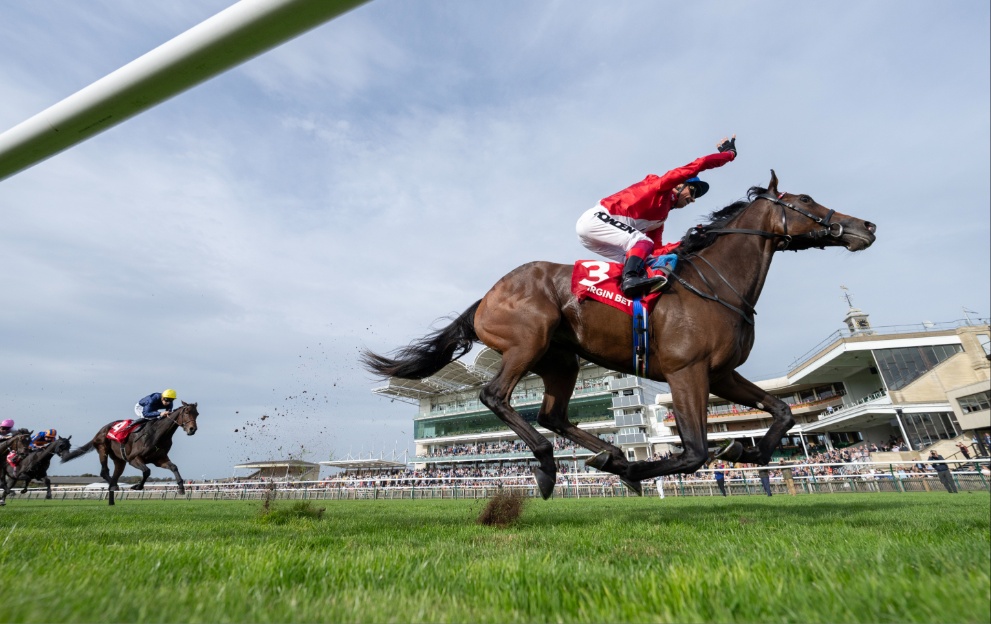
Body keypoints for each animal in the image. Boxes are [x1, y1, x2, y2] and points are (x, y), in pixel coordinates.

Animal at [62, 402, 200, 504]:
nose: (192, 429)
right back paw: (115, 486)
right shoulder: (133, 459)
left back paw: (113, 489)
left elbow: (174, 467)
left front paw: (181, 488)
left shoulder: (159, 459)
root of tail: (99, 431)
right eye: (186, 412)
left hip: (119, 460)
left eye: (197, 414)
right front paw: (137, 487)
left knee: (115, 474)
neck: (157, 434)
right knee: (104, 471)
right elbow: (147, 471)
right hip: (103, 449)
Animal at [364, 169, 876, 498]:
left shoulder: (721, 373)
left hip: (560, 359)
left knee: (552, 414)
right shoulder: (687, 371)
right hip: (529, 339)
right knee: (496, 396)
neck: (715, 284)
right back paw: (555, 463)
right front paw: (643, 465)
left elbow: (783, 412)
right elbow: (694, 450)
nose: (866, 225)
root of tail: (485, 298)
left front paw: (747, 451)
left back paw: (607, 455)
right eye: (804, 200)